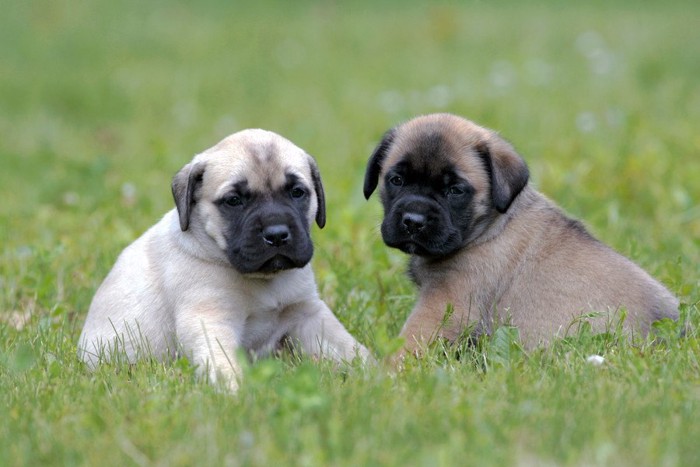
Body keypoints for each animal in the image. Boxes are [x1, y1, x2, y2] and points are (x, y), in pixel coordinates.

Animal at [78, 129, 370, 392]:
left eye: (297, 193)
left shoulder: (307, 314)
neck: (264, 283)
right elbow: (223, 363)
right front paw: (236, 394)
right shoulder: (210, 319)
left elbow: (347, 347)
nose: (276, 234)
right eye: (234, 200)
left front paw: (376, 374)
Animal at [364, 114, 680, 354]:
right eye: (396, 180)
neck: (488, 228)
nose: (413, 221)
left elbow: (409, 343)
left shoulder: (444, 304)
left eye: (455, 190)